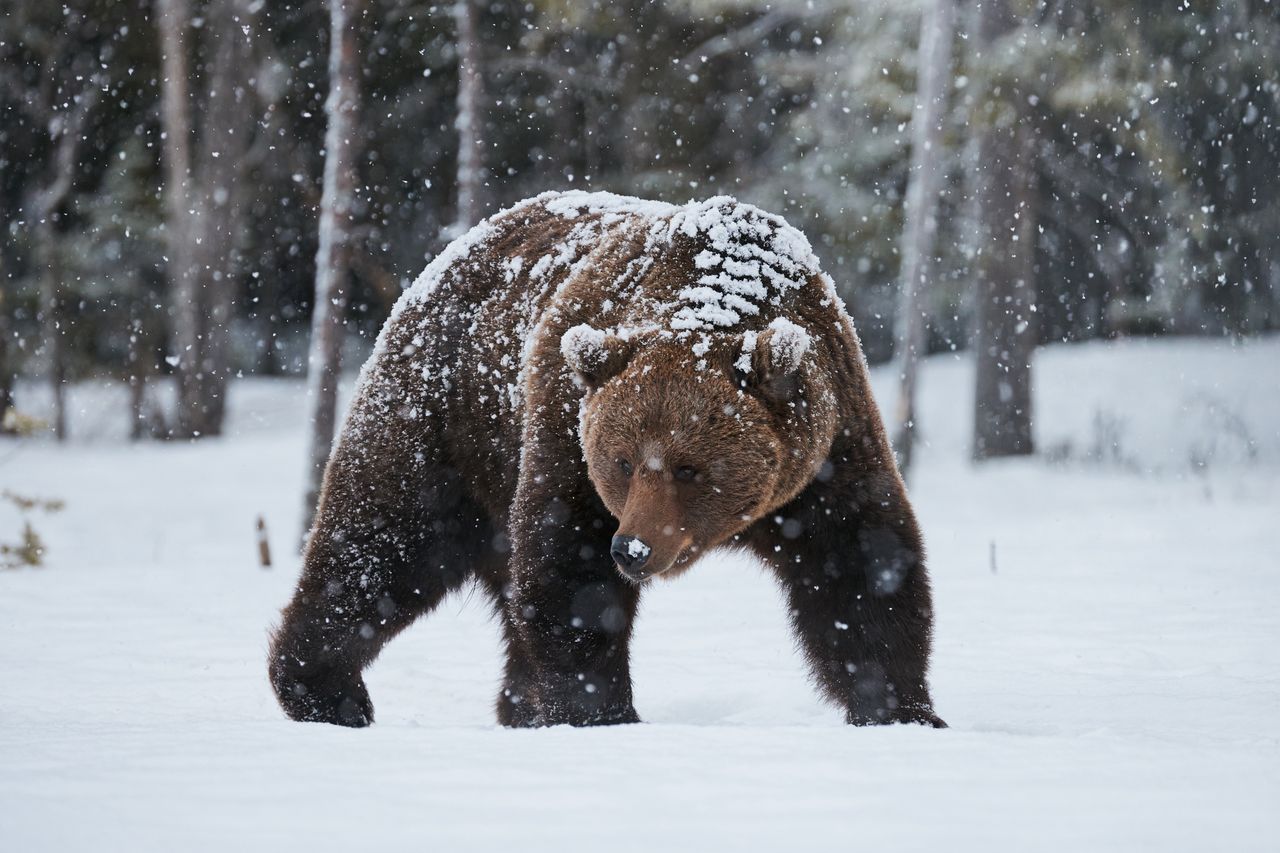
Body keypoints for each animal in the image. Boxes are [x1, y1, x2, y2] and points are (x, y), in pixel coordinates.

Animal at [270, 189, 947, 727]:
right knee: (382, 540)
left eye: (689, 467)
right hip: (446, 417)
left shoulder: (828, 447)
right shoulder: (566, 427)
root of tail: (454, 251)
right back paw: (325, 692)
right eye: (621, 462)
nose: (634, 549)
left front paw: (902, 709)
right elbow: (570, 573)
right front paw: (600, 712)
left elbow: (863, 566)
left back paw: (519, 707)